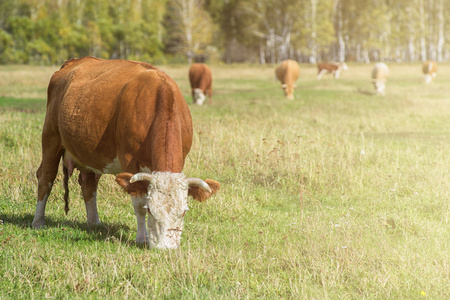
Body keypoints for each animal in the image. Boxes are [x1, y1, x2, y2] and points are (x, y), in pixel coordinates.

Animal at [31, 57, 220, 250]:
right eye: (150, 210)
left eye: (183, 212)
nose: (164, 248)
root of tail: (73, 62)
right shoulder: (129, 160)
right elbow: (138, 202)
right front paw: (142, 238)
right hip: (51, 137)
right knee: (45, 178)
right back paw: (38, 222)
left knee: (89, 185)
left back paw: (94, 223)